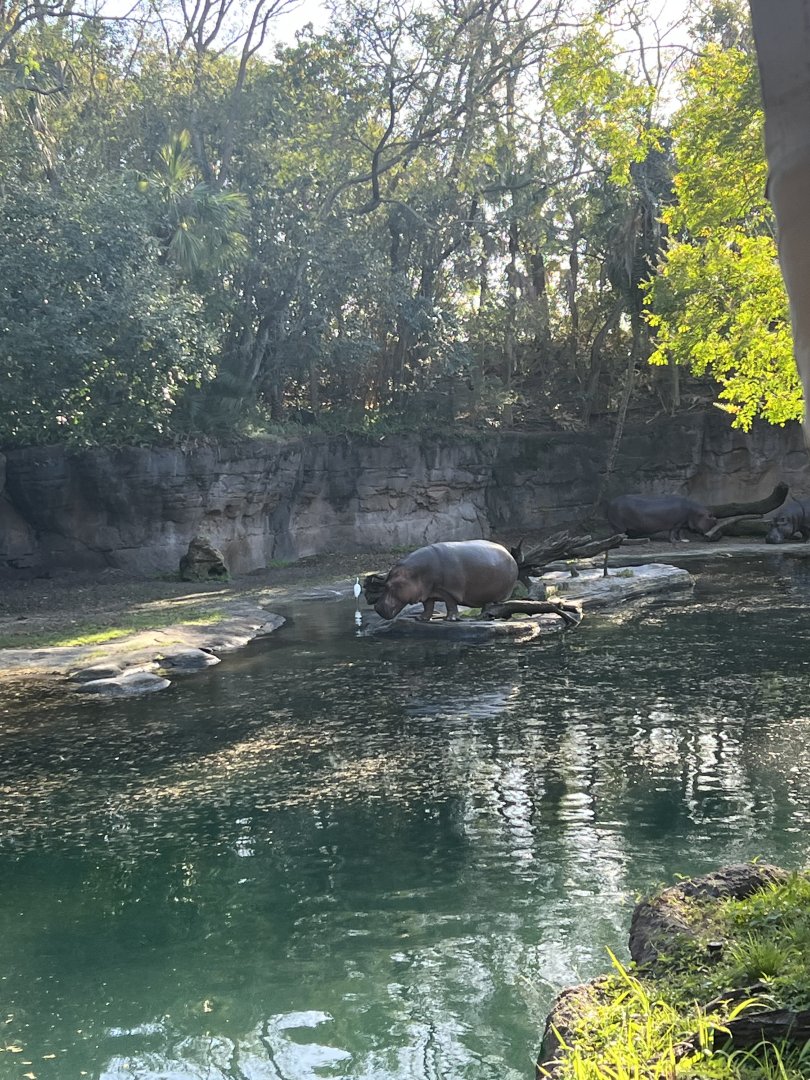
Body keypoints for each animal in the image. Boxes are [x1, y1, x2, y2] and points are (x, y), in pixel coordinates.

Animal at [374, 540, 519, 621]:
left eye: (389, 585)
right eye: (384, 583)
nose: (376, 607)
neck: (415, 574)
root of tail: (509, 553)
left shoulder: (448, 591)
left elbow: (450, 604)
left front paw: (450, 619)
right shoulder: (428, 592)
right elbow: (428, 606)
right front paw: (420, 618)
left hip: (498, 595)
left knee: (495, 606)